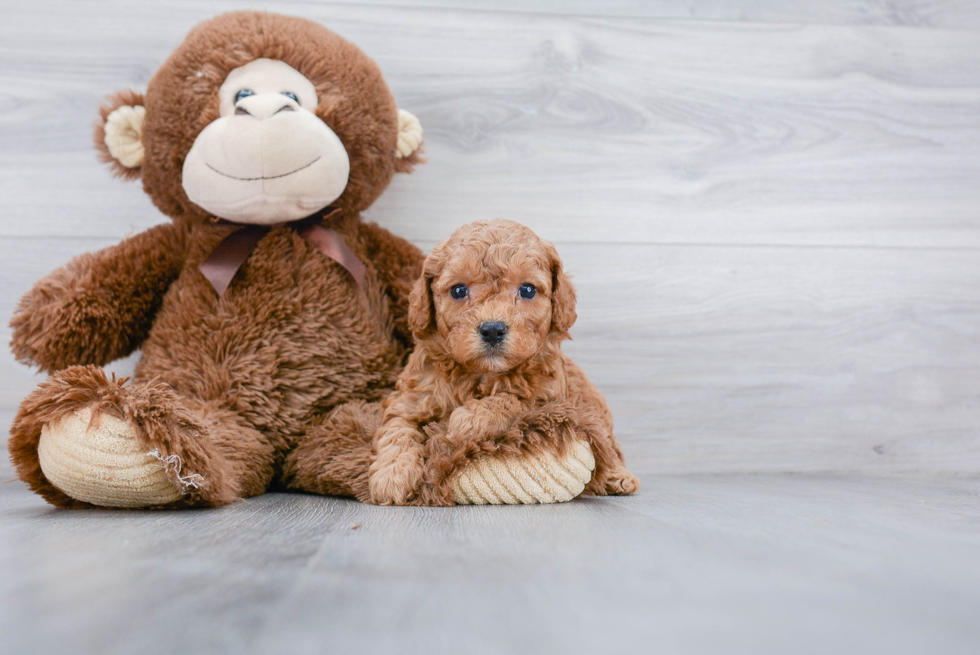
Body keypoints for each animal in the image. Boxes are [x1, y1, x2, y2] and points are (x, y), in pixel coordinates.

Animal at [370, 220, 644, 508]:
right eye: (459, 290)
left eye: (527, 290)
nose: (492, 329)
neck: (481, 375)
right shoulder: (408, 401)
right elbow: (396, 431)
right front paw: (391, 476)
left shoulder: (548, 399)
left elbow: (510, 400)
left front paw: (464, 420)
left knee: (609, 447)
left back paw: (618, 477)